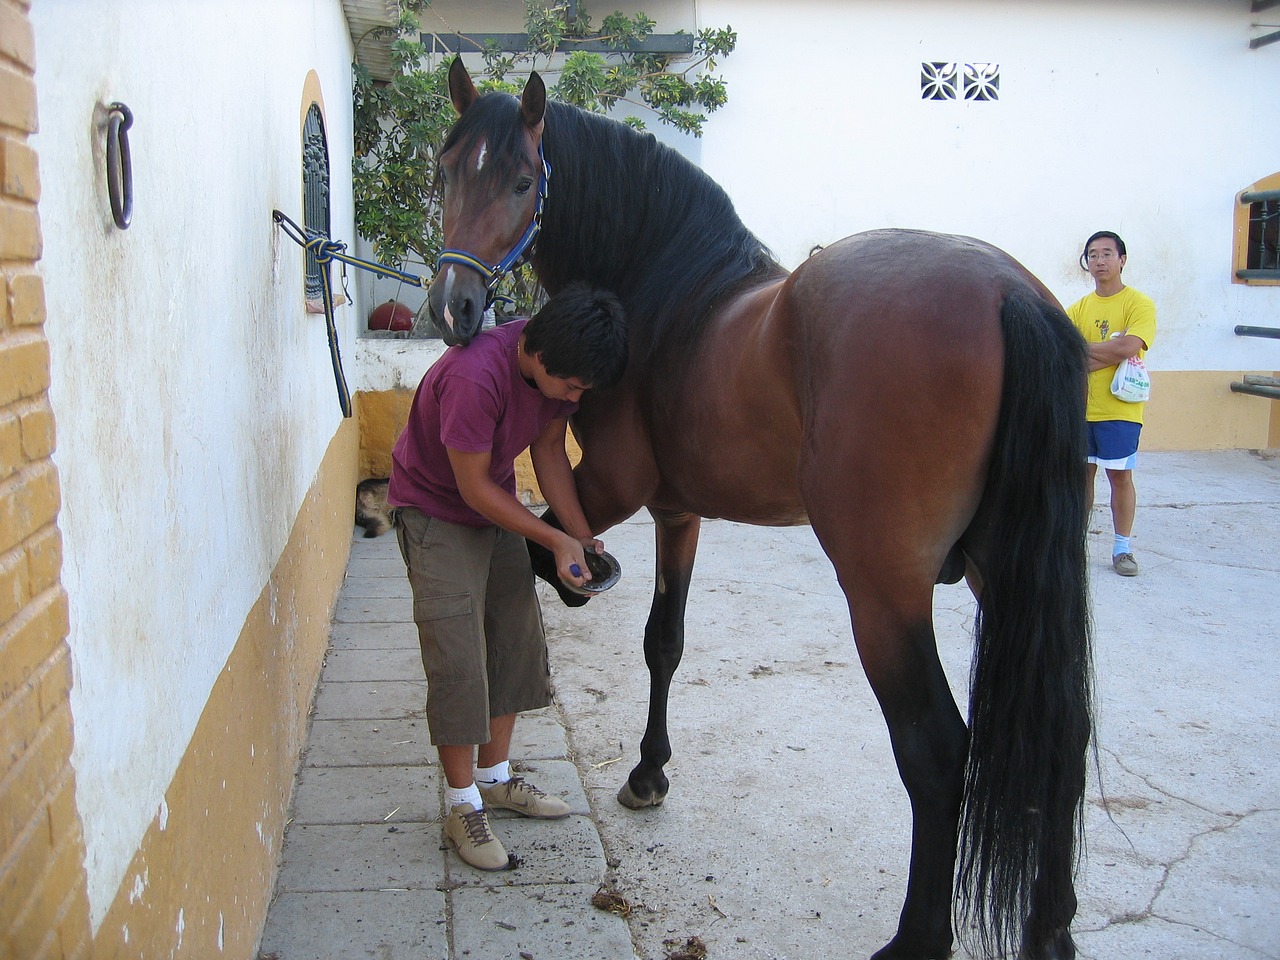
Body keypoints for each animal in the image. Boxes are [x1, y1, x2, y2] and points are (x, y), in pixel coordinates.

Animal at [427, 60, 1090, 960]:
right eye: (444, 171)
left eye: (524, 181)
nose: (451, 309)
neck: (666, 295)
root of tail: (1004, 292)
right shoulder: (677, 513)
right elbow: (663, 642)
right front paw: (648, 772)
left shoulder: (611, 487)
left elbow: (541, 552)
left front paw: (571, 591)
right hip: (1012, 570)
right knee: (1063, 730)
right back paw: (1051, 928)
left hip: (883, 589)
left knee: (936, 750)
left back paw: (917, 937)